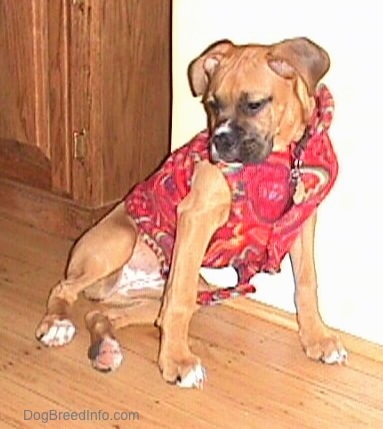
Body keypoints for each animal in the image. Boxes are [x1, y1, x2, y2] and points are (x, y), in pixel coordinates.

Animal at [36, 37, 348, 388]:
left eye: (254, 104)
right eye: (212, 104)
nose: (219, 143)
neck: (279, 161)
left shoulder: (301, 221)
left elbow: (307, 283)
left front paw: (318, 338)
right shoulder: (198, 216)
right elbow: (179, 300)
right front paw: (177, 361)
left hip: (174, 295)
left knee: (103, 313)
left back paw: (106, 350)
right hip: (121, 240)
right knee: (64, 288)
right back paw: (57, 325)